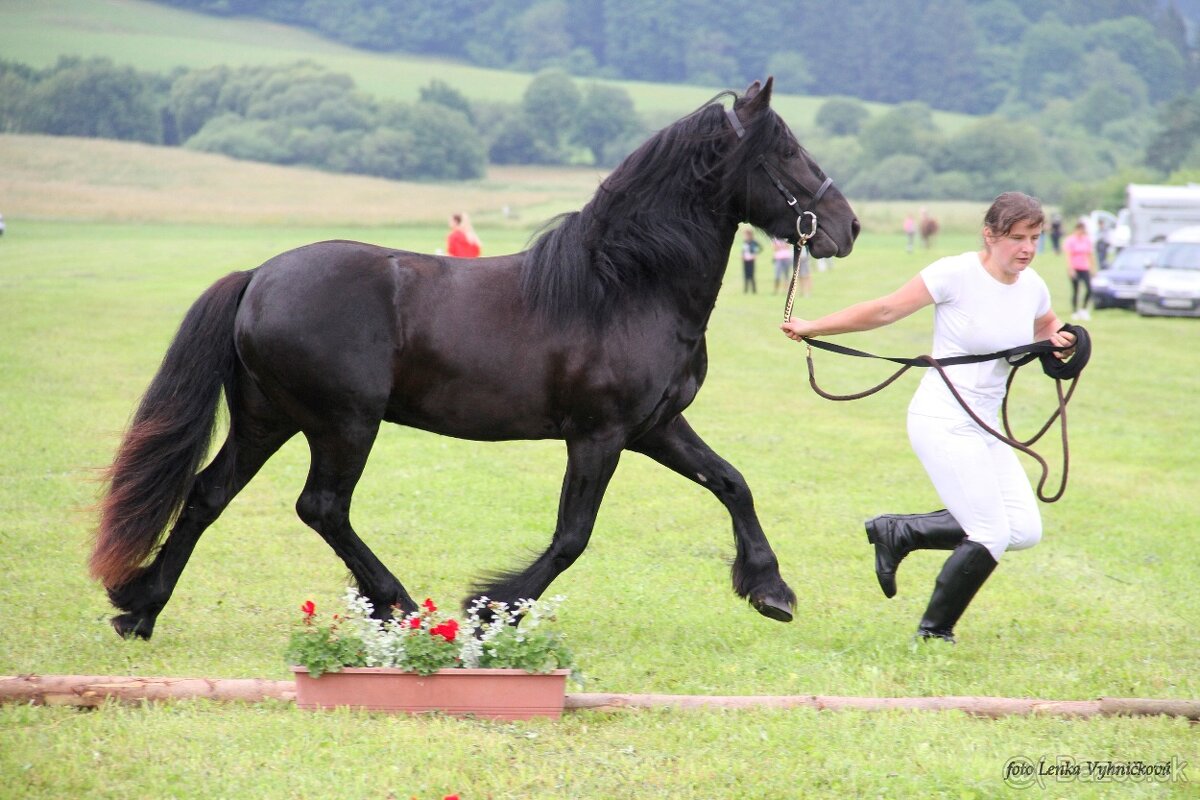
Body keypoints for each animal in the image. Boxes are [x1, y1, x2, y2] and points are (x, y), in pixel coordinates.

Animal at [91, 78, 859, 639]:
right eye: (786, 153)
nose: (847, 227)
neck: (625, 287)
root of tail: (257, 277)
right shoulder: (600, 436)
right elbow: (572, 536)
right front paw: (491, 610)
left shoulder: (656, 429)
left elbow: (732, 483)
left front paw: (770, 589)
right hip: (342, 424)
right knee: (323, 507)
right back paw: (398, 606)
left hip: (267, 420)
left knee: (208, 495)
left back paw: (140, 608)